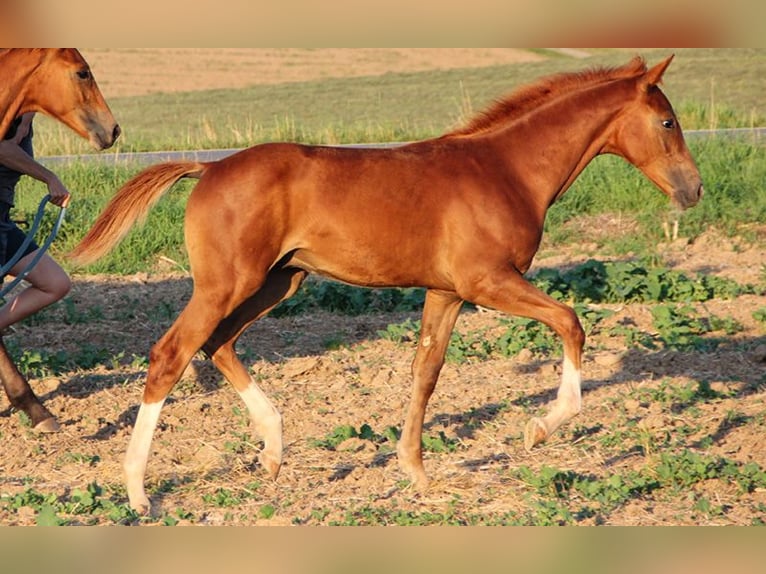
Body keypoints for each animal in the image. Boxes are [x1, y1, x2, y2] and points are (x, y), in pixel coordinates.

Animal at [72, 55, 704, 512]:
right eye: (667, 121)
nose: (693, 189)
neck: (505, 170)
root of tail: (210, 167)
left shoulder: (447, 293)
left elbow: (426, 372)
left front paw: (415, 471)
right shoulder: (488, 282)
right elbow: (571, 323)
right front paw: (540, 428)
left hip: (280, 281)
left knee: (218, 343)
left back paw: (273, 450)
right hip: (227, 283)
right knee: (172, 353)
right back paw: (138, 492)